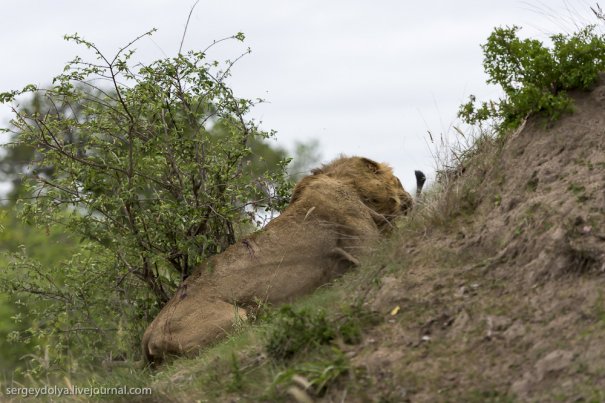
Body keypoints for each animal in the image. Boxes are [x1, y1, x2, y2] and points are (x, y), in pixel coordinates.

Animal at [143, 156, 420, 364]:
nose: (409, 197)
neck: (349, 185)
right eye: (397, 180)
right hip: (235, 318)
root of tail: (147, 336)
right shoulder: (367, 248)